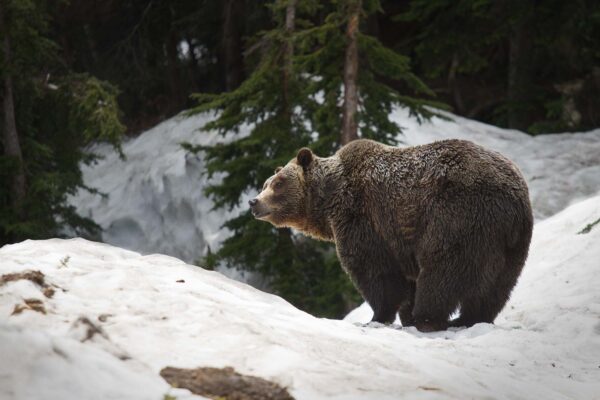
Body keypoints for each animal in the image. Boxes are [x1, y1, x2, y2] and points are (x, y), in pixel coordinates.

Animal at [248, 139, 536, 332]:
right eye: (265, 183)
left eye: (278, 183)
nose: (254, 202)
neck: (329, 202)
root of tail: (513, 199)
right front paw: (404, 315)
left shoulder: (364, 217)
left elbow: (376, 272)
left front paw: (378, 316)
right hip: (512, 243)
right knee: (497, 286)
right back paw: (469, 319)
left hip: (456, 217)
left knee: (442, 271)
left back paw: (428, 318)